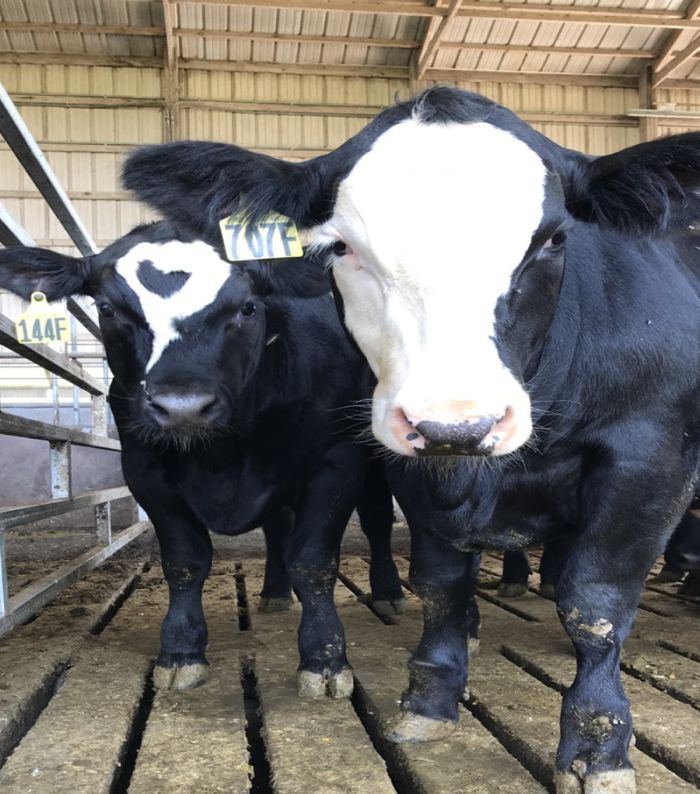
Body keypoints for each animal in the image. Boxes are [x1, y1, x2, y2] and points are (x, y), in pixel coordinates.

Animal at [0, 220, 406, 695]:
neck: (223, 456)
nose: (182, 407)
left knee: (376, 519)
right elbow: (185, 561)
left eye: (248, 307)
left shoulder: (336, 460)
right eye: (107, 308)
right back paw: (274, 593)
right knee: (276, 528)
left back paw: (388, 593)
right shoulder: (145, 470)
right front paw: (181, 651)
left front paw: (324, 658)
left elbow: (313, 561)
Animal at [121, 86, 700, 793]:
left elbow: (595, 602)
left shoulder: (650, 456)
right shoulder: (409, 464)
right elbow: (441, 583)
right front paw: (431, 698)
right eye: (339, 248)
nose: (458, 423)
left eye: (553, 240)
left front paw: (599, 745)